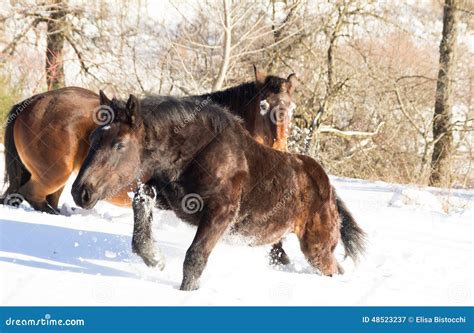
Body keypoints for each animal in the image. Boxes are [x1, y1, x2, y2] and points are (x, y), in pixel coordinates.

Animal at [0, 66, 296, 214]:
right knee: (31, 196)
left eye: (291, 106)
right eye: (263, 105)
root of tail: (32, 102)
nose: (280, 145)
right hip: (54, 175)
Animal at [70, 92, 366, 288]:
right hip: (279, 243)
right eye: (94, 137)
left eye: (119, 144)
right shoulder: (169, 199)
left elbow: (194, 258)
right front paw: (156, 260)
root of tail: (328, 189)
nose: (80, 192)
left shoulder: (220, 214)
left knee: (334, 268)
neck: (197, 152)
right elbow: (140, 226)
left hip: (316, 247)